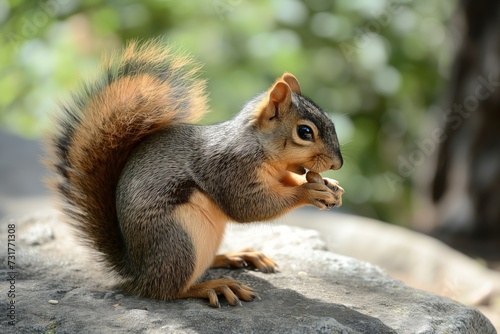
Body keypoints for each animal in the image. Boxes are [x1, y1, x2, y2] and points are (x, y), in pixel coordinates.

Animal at [45, 40, 344, 310]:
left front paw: (330, 186)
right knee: (168, 290)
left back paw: (237, 256)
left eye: (330, 121)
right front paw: (309, 191)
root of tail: (137, 270)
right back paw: (214, 286)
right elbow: (248, 206)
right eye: (304, 132)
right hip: (178, 241)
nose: (338, 164)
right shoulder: (229, 168)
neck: (259, 146)